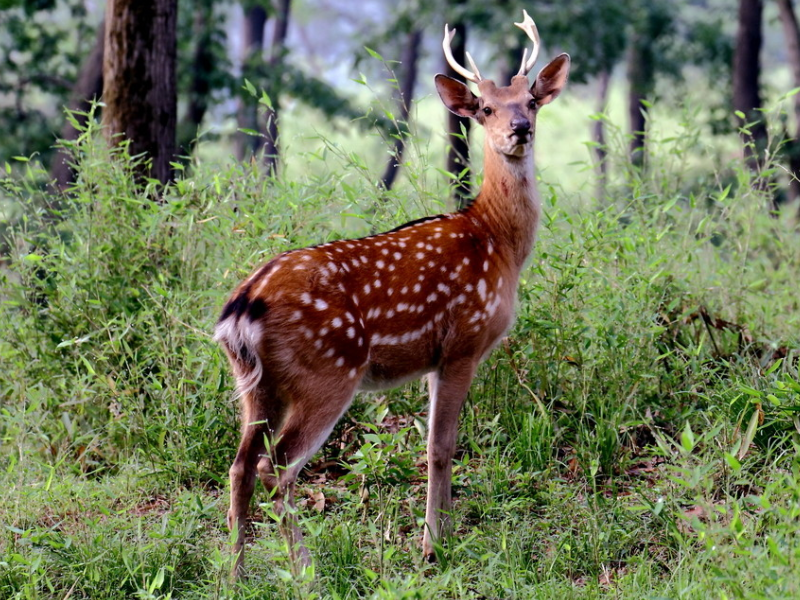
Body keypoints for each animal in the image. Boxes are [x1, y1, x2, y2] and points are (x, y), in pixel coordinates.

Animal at [216, 11, 572, 576]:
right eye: (486, 108)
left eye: (531, 100)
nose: (520, 129)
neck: (496, 240)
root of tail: (241, 309)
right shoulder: (464, 342)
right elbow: (442, 446)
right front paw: (434, 548)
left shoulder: (433, 359)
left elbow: (434, 443)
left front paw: (443, 537)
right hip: (327, 372)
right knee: (277, 467)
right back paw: (307, 570)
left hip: (254, 383)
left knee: (239, 465)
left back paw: (235, 572)